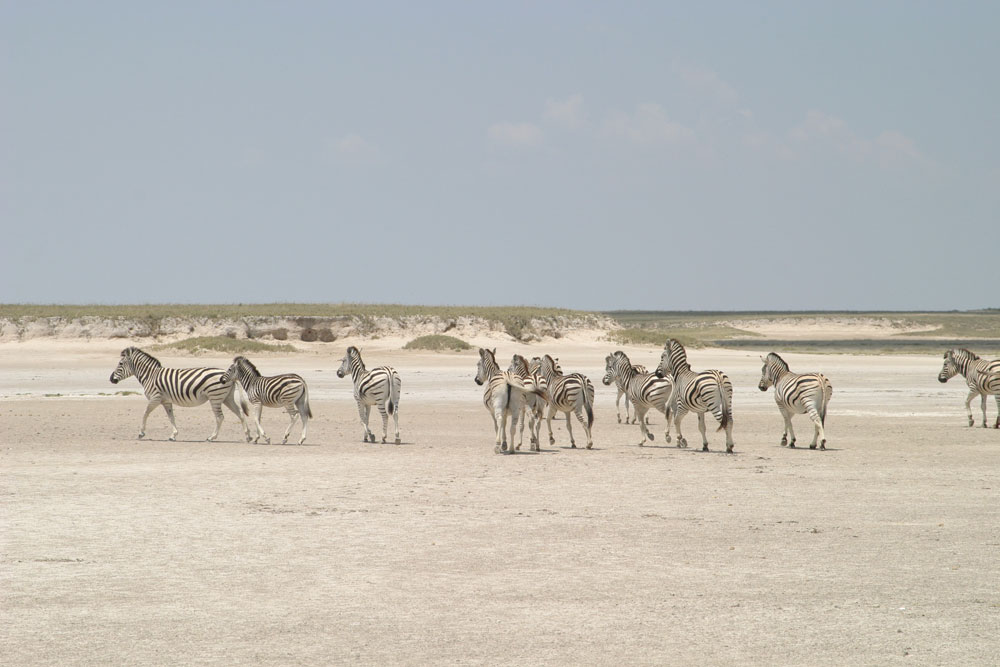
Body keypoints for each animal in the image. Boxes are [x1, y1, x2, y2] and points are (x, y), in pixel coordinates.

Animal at [106, 344, 250, 444]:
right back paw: (248, 436)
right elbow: (171, 417)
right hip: (226, 398)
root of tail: (228, 376)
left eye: (120, 363)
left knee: (220, 417)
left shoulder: (155, 398)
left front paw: (141, 433)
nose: (111, 379)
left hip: (215, 397)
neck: (150, 376)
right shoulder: (166, 401)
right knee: (240, 413)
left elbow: (145, 413)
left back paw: (211, 437)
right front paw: (173, 435)